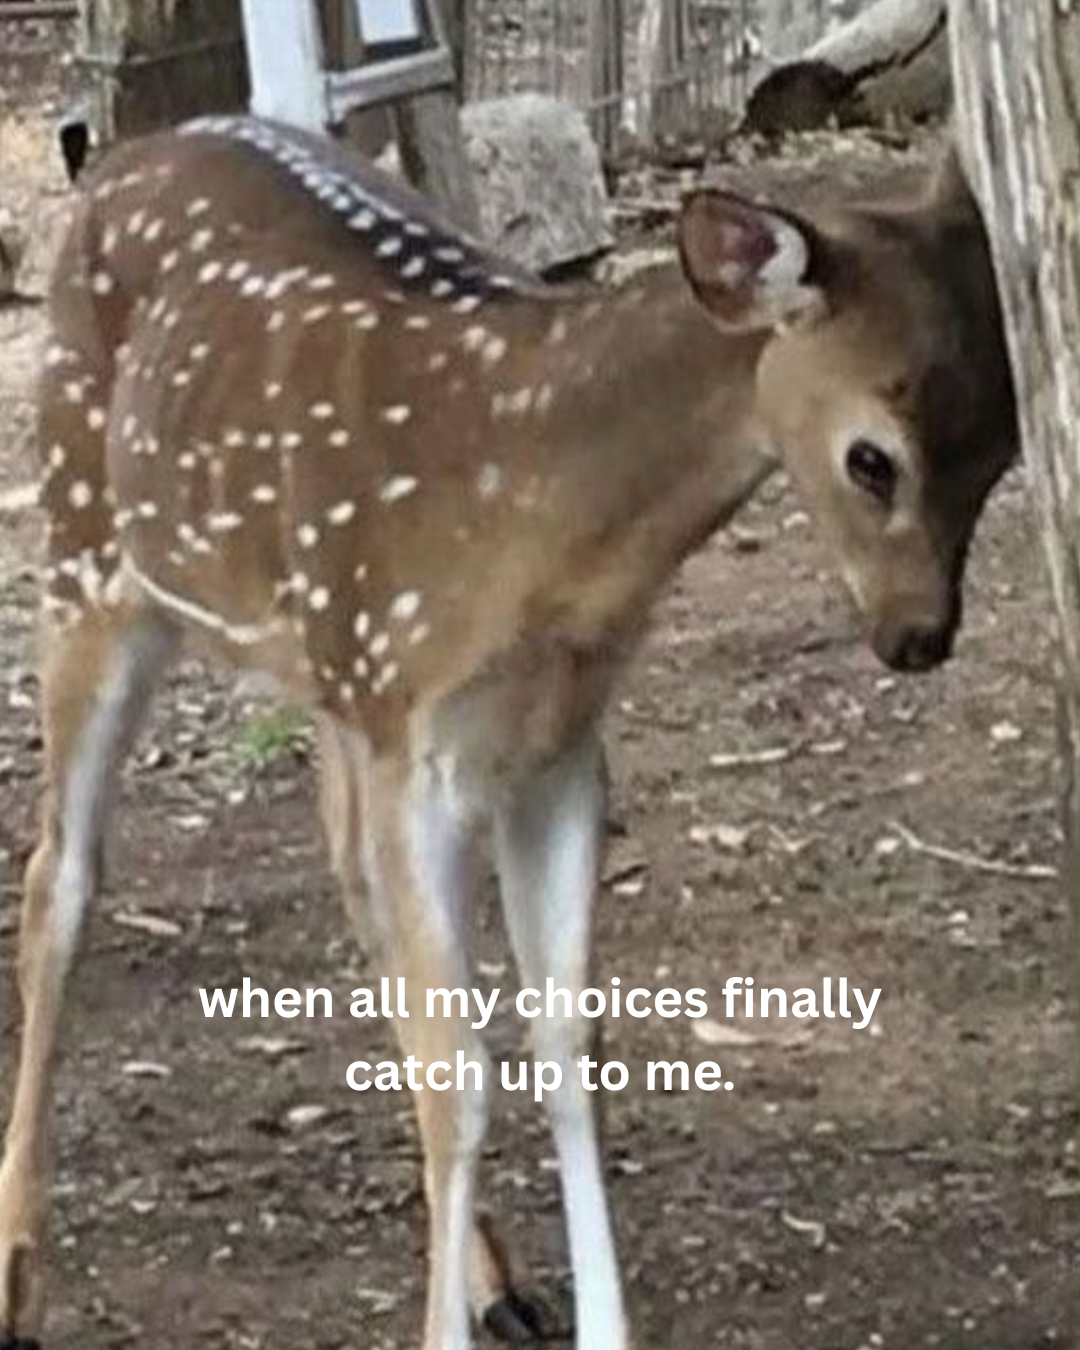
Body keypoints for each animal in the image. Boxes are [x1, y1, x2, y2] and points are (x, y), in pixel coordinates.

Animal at [0, 114, 1016, 1350]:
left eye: (1006, 449)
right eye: (873, 457)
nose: (919, 636)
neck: (536, 526)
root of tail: (122, 153)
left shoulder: (552, 749)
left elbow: (565, 1046)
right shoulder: (420, 744)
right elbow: (464, 1076)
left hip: (331, 681)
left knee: (348, 881)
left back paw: (497, 1279)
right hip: (87, 556)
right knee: (59, 876)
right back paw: (18, 1276)